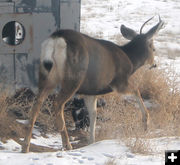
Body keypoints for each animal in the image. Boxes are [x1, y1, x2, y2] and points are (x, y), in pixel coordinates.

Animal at [21, 16, 163, 153]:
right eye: (153, 48)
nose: (154, 64)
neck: (131, 61)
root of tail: (56, 39)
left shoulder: (90, 91)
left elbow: (93, 114)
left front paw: (91, 141)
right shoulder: (119, 81)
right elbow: (136, 91)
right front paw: (146, 123)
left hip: (46, 75)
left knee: (36, 104)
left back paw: (25, 146)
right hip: (73, 77)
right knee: (57, 103)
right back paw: (67, 144)